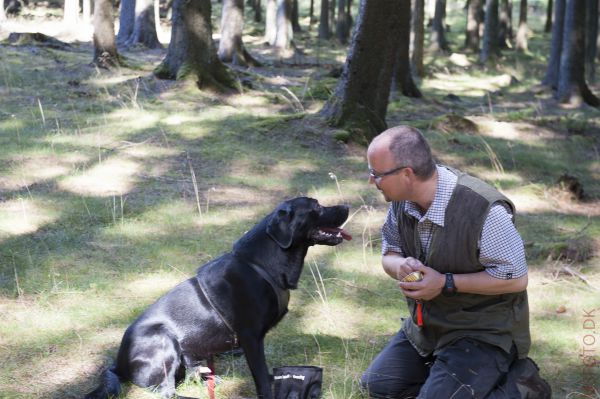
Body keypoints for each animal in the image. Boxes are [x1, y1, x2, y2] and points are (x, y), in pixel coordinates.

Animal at [82, 198, 350, 399]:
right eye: (316, 206)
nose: (347, 206)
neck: (261, 265)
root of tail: (117, 363)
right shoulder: (250, 338)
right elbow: (262, 379)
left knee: (189, 376)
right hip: (163, 339)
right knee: (167, 392)